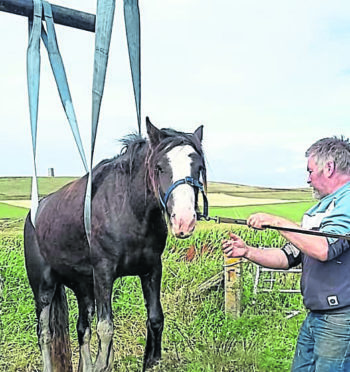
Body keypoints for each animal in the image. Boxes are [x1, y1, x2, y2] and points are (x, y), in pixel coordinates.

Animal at [23, 117, 208, 372]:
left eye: (198, 168)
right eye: (160, 167)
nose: (184, 221)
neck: (128, 210)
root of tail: (34, 213)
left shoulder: (151, 270)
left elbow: (155, 319)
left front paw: (151, 360)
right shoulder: (104, 272)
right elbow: (106, 328)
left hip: (83, 288)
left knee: (83, 330)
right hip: (43, 287)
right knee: (45, 335)